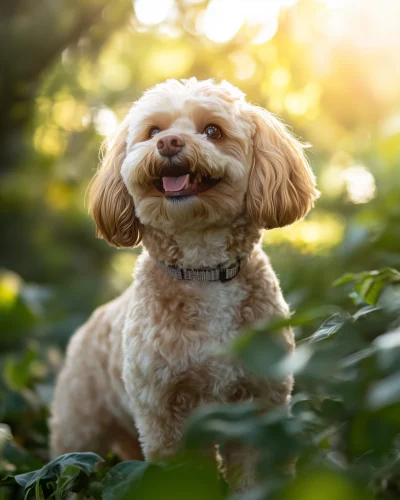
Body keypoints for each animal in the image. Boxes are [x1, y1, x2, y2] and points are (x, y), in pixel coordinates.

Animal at [50, 77, 318, 488]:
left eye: (213, 131)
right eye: (153, 132)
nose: (169, 143)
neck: (202, 268)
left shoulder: (260, 404)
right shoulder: (163, 413)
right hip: (78, 430)